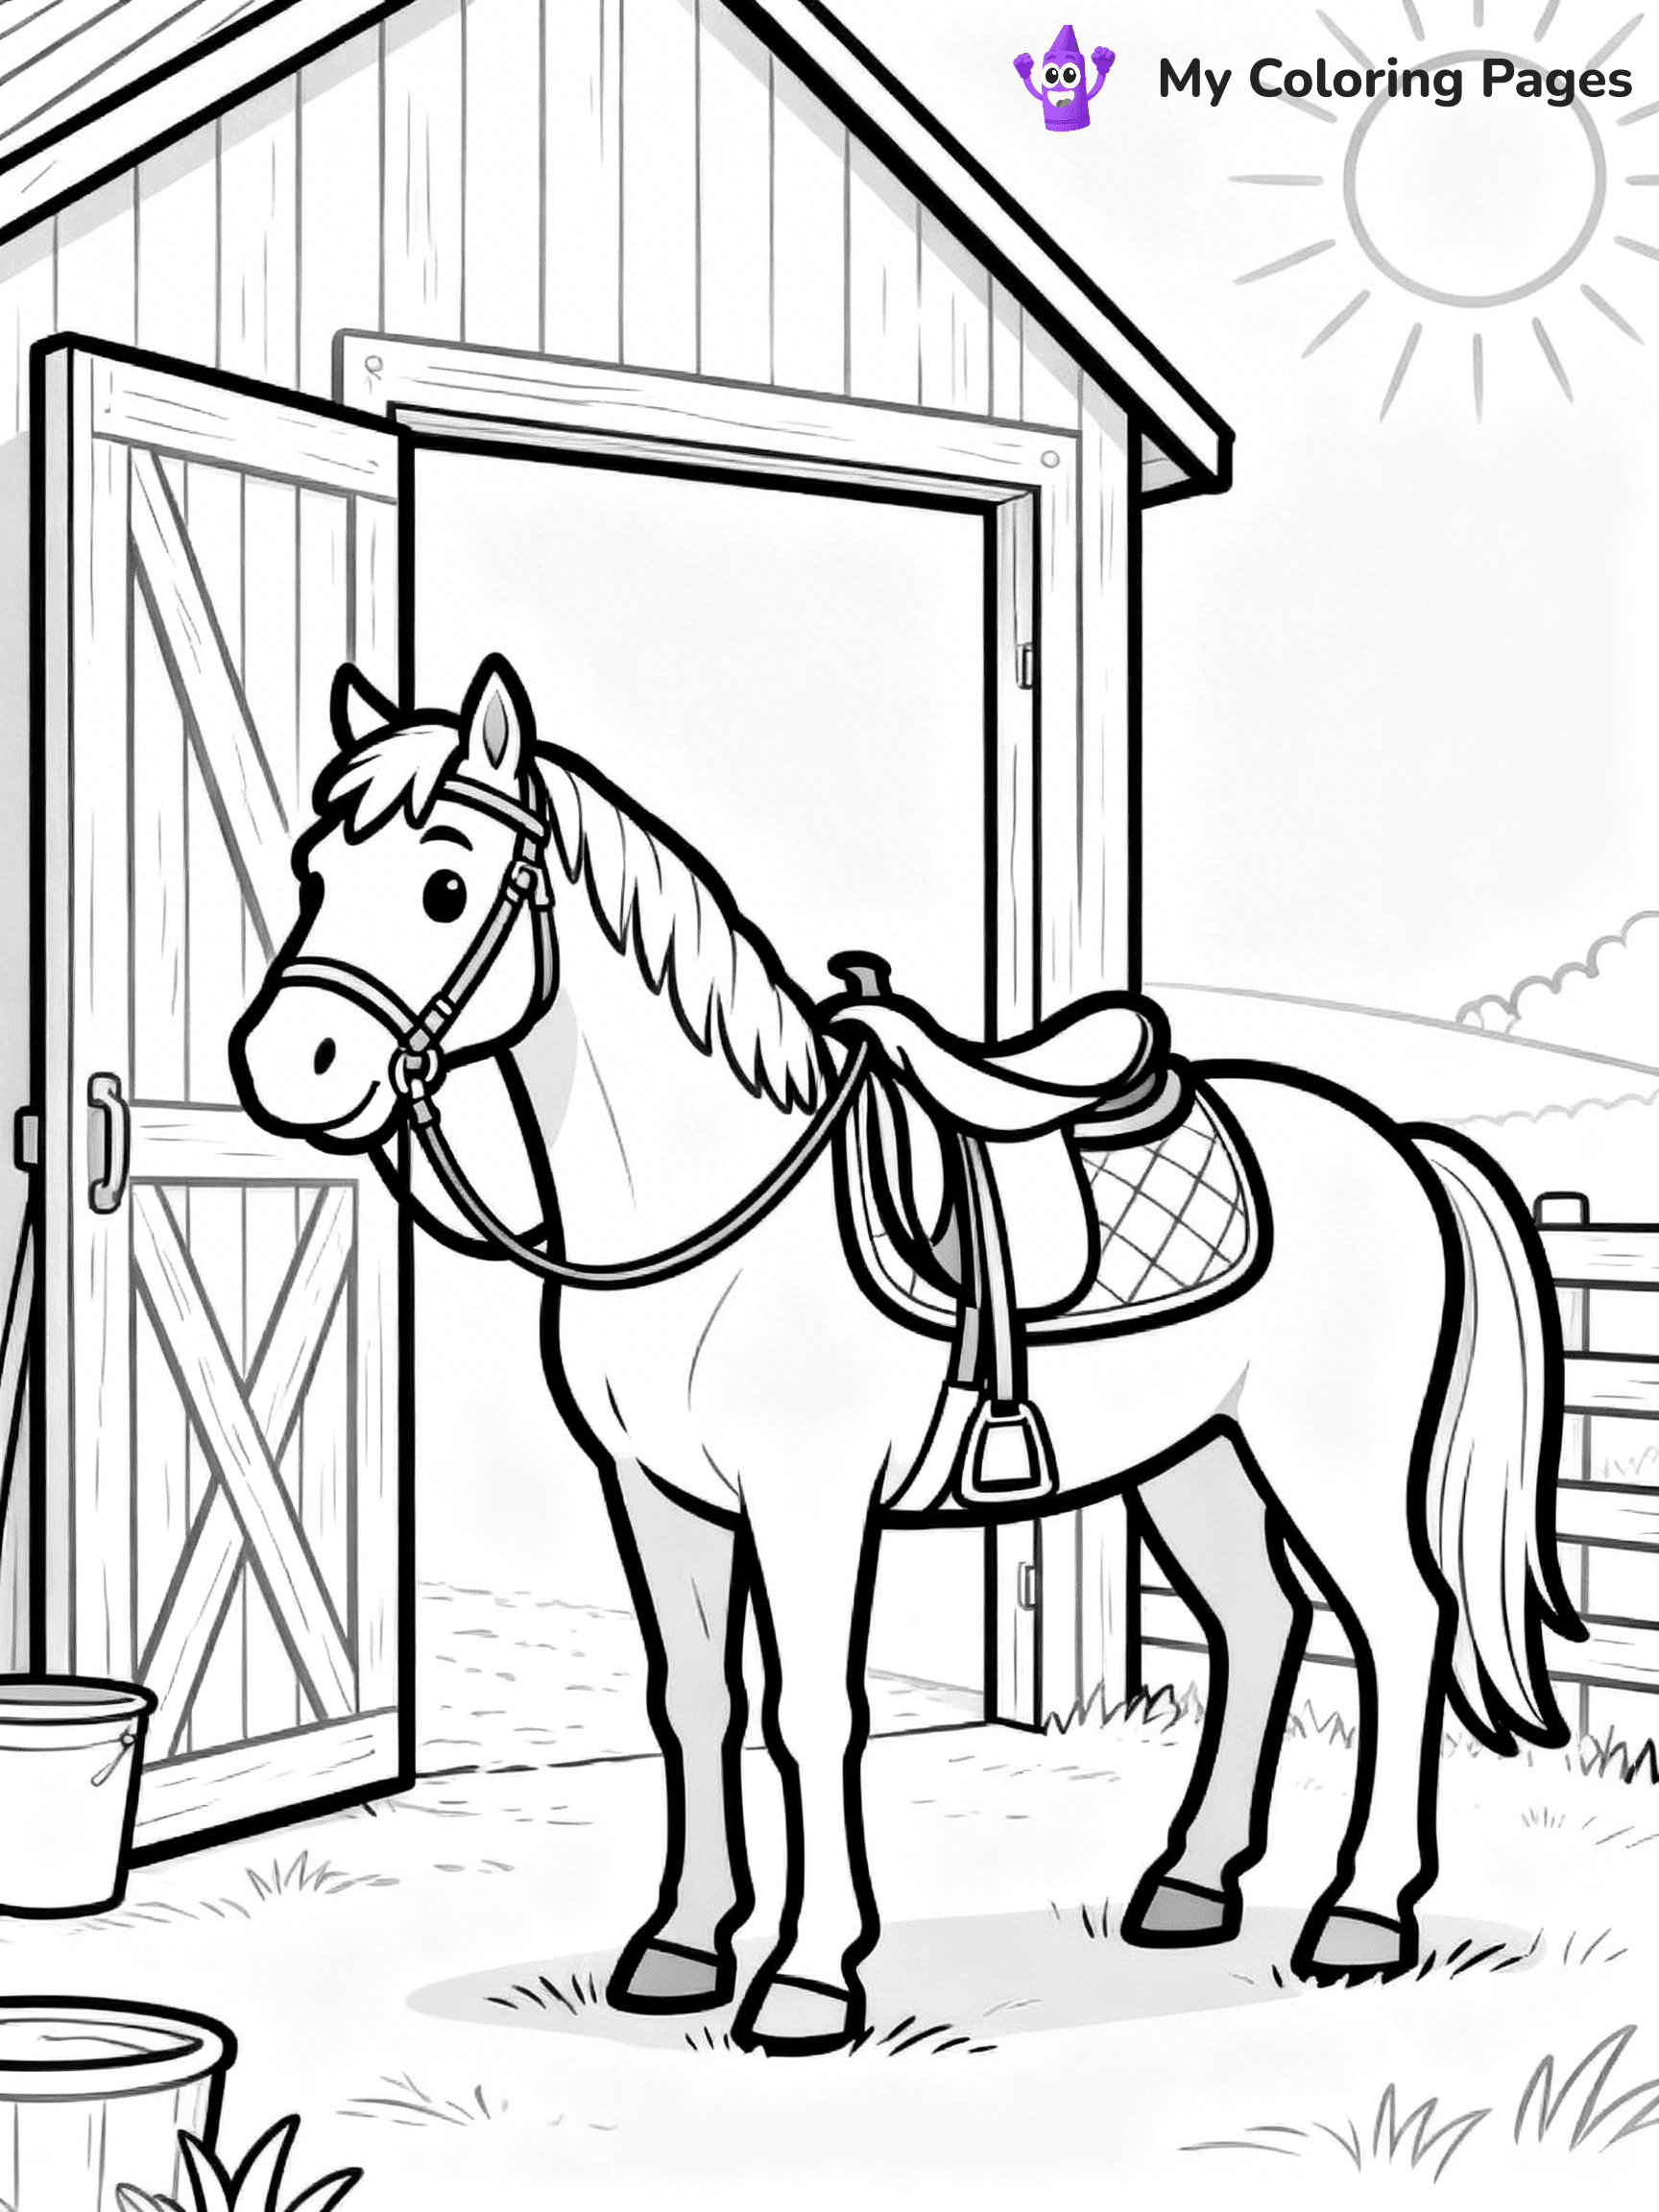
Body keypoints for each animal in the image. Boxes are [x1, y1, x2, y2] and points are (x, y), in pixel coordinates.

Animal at [230, 652, 1580, 2057]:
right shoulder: (655, 1493)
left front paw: (809, 1979)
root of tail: (1398, 1143)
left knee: (1402, 1625)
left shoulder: (811, 1501)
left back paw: (1363, 1917)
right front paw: (679, 1949)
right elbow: (694, 1701)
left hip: (1329, 1460)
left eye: (444, 886)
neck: (718, 1205)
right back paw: (1189, 1889)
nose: (285, 1065)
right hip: (1194, 1455)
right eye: (315, 870)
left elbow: (813, 1714)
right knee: (1261, 1622)